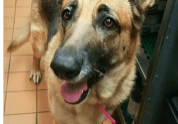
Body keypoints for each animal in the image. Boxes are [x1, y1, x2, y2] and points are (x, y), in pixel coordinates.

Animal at [7, 0, 154, 123]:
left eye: (108, 22)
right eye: (66, 14)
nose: (60, 68)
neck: (93, 98)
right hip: (40, 42)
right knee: (36, 55)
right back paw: (36, 71)